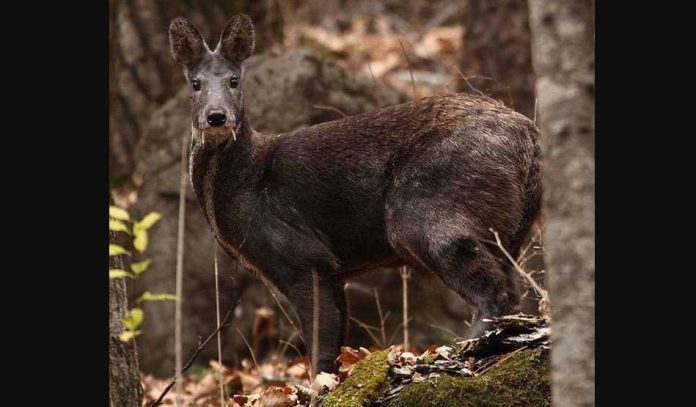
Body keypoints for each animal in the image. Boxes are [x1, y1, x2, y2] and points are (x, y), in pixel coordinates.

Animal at [169, 14, 544, 374]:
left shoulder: (302, 256)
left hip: (425, 208)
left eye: (234, 81)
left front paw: (319, 385)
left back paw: (462, 350)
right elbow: (336, 337)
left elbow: (320, 344)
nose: (216, 116)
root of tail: (530, 135)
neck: (248, 181)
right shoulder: (332, 270)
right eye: (195, 83)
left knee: (495, 291)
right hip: (510, 227)